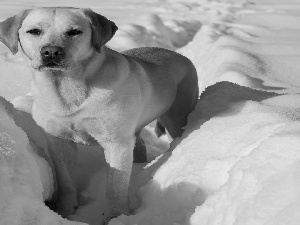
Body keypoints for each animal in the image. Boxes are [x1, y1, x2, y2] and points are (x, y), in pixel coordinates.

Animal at [0, 7, 199, 223]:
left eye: (74, 32)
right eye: (34, 31)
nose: (51, 51)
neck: (68, 89)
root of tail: (181, 56)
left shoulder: (116, 143)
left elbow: (115, 187)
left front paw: (115, 218)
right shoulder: (59, 140)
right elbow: (65, 181)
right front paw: (65, 211)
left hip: (176, 117)